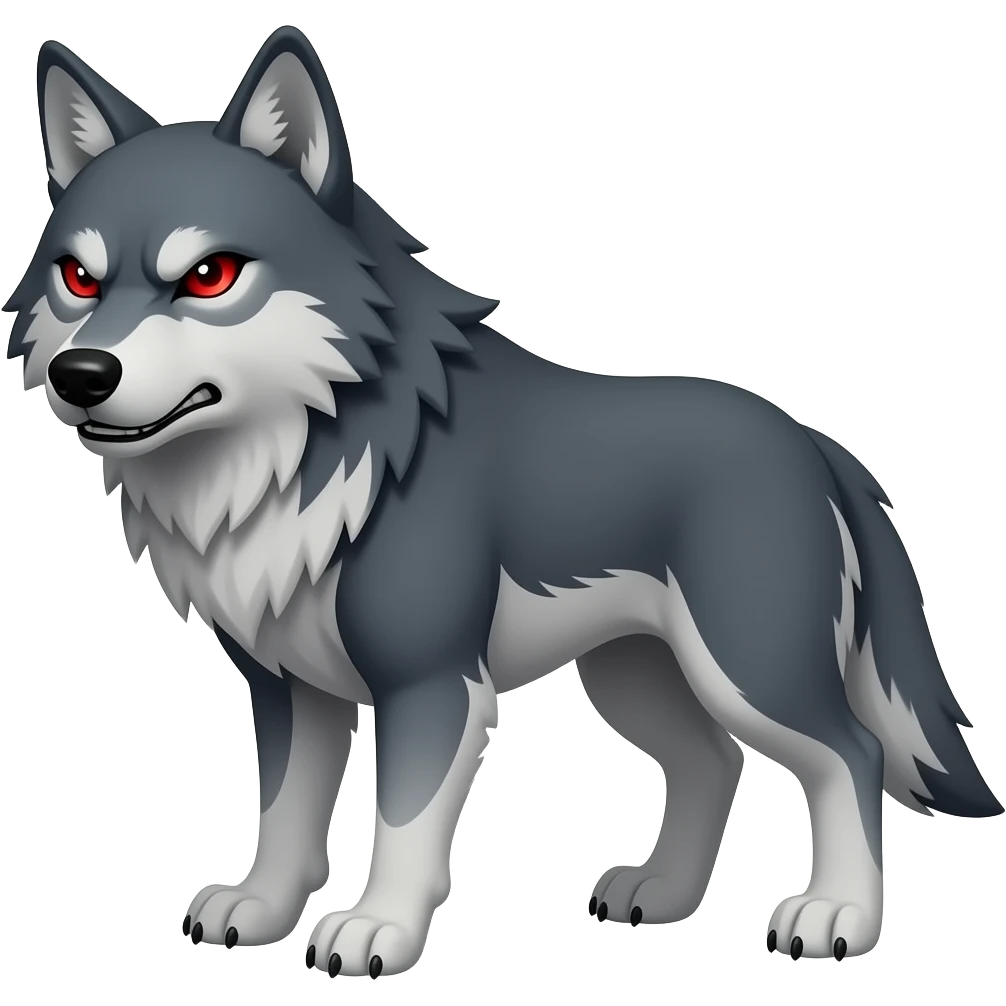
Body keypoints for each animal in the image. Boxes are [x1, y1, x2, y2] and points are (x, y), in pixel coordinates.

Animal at [6, 25, 1000, 979]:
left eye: (210, 276)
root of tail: (814, 441)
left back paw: (837, 917)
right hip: (634, 676)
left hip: (746, 667)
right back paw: (663, 894)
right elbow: (286, 812)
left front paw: (376, 930)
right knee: (713, 762)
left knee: (851, 755)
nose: (82, 375)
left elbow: (401, 822)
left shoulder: (431, 683)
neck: (308, 453)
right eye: (79, 279)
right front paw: (259, 909)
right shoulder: (291, 687)